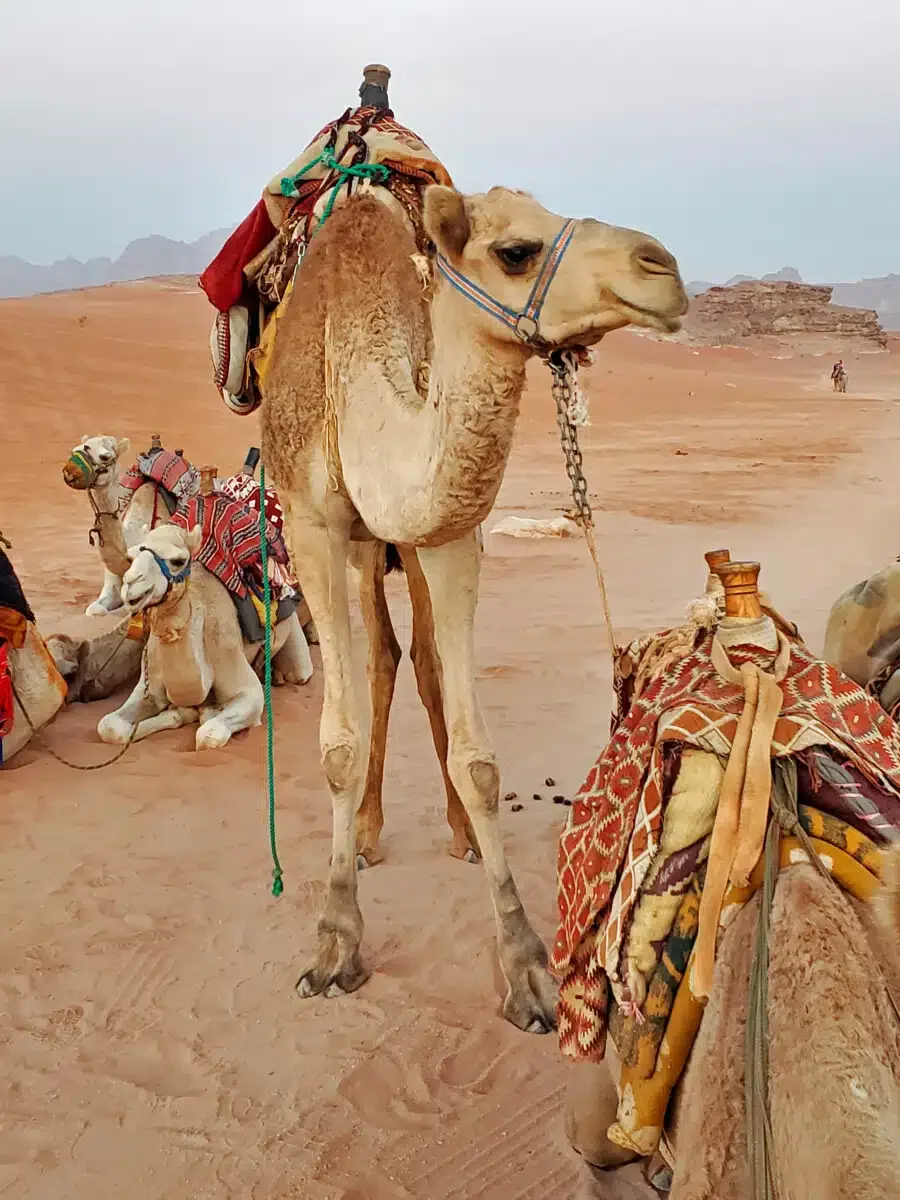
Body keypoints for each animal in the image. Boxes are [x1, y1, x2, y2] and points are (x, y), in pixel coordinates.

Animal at [97, 522, 314, 750]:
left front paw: (205, 710)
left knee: (299, 671)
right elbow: (109, 726)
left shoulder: (245, 684)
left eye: (178, 561)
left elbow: (208, 734)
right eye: (131, 558)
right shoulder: (149, 687)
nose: (131, 584)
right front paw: (178, 713)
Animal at [260, 183, 687, 1029]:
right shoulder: (311, 523)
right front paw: (335, 943)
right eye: (516, 251)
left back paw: (454, 833)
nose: (662, 266)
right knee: (383, 653)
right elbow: (338, 744)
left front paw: (524, 967)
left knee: (418, 658)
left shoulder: (449, 530)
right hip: (362, 546)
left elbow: (477, 756)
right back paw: (367, 834)